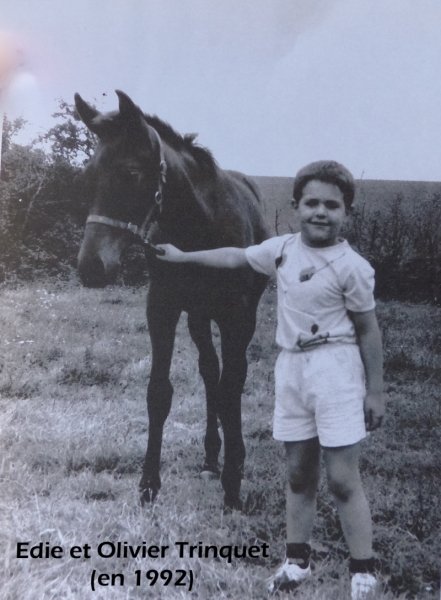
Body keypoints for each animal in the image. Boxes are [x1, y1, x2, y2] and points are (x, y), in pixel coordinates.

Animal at [75, 90, 269, 510]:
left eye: (131, 174)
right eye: (88, 176)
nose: (91, 268)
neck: (200, 228)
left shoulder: (236, 315)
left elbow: (233, 388)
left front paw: (233, 486)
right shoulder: (162, 307)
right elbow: (159, 393)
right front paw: (149, 484)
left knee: (231, 375)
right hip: (197, 316)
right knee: (210, 371)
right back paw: (211, 457)